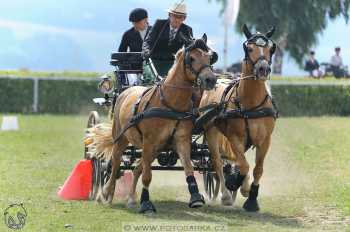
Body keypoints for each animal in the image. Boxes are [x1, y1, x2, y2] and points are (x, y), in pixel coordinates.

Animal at [86, 35, 217, 214]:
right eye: (191, 58)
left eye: (209, 57)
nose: (210, 79)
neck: (170, 104)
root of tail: (126, 91)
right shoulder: (149, 141)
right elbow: (147, 176)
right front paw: (146, 204)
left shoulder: (181, 140)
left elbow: (188, 167)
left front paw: (196, 197)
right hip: (122, 139)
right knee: (115, 164)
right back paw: (106, 193)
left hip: (155, 148)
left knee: (137, 168)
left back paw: (131, 199)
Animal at [200, 24, 278, 211]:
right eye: (249, 48)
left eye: (271, 48)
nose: (263, 69)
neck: (250, 104)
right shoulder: (235, 137)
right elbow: (243, 165)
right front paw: (235, 183)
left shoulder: (265, 140)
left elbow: (257, 169)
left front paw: (251, 198)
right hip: (212, 133)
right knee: (217, 163)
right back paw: (226, 194)